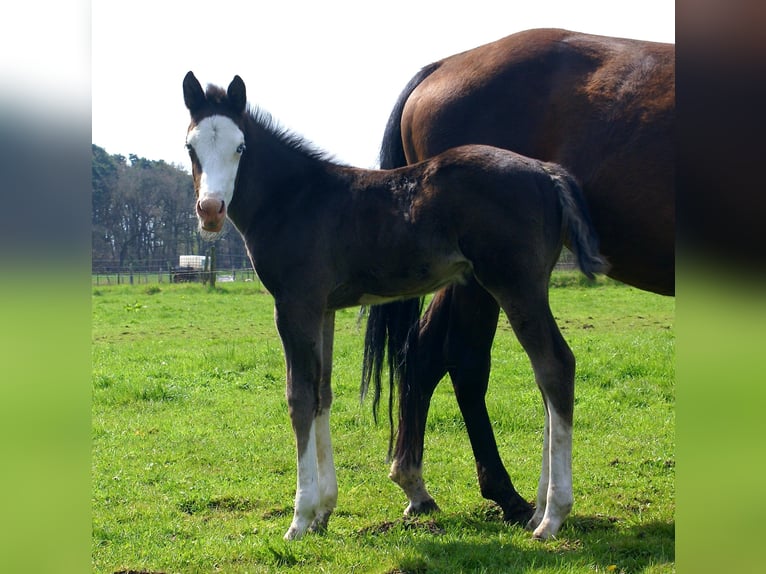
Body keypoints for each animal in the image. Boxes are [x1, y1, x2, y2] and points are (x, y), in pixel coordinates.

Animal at [182, 71, 606, 540]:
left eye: (240, 148)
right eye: (191, 147)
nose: (210, 210)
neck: (294, 198)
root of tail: (546, 173)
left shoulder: (295, 304)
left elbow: (299, 397)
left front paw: (299, 518)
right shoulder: (324, 308)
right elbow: (323, 394)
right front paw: (324, 511)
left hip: (516, 284)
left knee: (555, 366)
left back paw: (552, 516)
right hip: (528, 285)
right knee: (548, 376)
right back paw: (538, 509)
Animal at [361, 28, 675, 530]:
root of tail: (440, 67)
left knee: (432, 352)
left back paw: (427, 488)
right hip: (485, 279)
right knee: (471, 359)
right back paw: (512, 499)